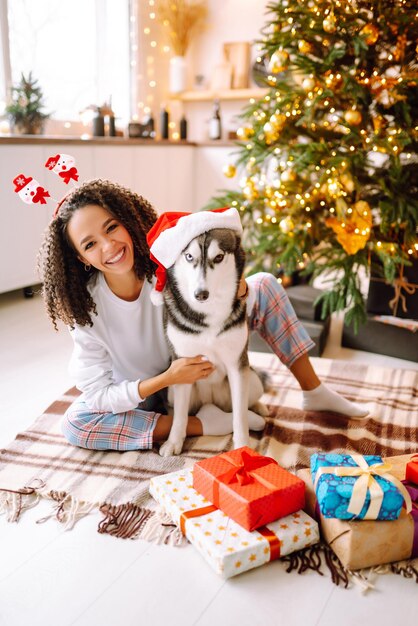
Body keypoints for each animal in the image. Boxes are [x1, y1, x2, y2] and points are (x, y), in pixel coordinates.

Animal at [158, 227, 266, 456]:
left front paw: (242, 447)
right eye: (189, 256)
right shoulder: (183, 366)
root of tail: (210, 401)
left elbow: (240, 417)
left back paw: (260, 408)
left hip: (252, 381)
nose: (200, 294)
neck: (209, 315)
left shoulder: (236, 366)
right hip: (172, 390)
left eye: (218, 257)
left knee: (246, 403)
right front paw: (173, 442)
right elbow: (180, 416)